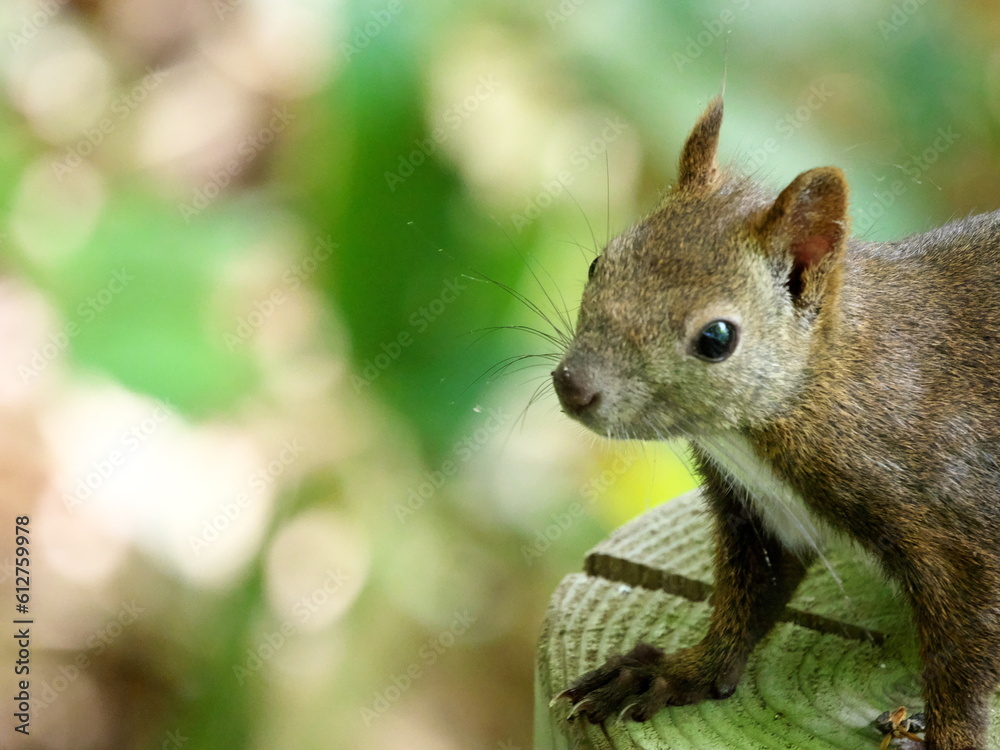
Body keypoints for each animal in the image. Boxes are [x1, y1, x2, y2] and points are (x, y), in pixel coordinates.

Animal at [549, 96, 1000, 750]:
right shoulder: (761, 509)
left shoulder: (964, 524)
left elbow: (961, 661)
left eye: (717, 337)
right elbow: (747, 600)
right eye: (597, 263)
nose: (573, 384)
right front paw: (676, 671)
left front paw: (950, 737)